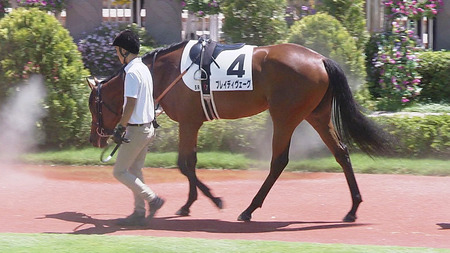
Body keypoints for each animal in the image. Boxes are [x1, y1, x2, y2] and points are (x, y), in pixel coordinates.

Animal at [87, 39, 390, 221]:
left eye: (93, 106)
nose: (94, 139)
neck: (167, 71)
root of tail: (319, 59)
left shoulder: (188, 122)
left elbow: (184, 164)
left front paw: (214, 199)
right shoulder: (192, 123)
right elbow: (190, 162)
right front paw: (189, 204)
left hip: (285, 117)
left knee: (279, 161)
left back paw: (249, 209)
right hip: (317, 115)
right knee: (341, 152)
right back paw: (353, 208)